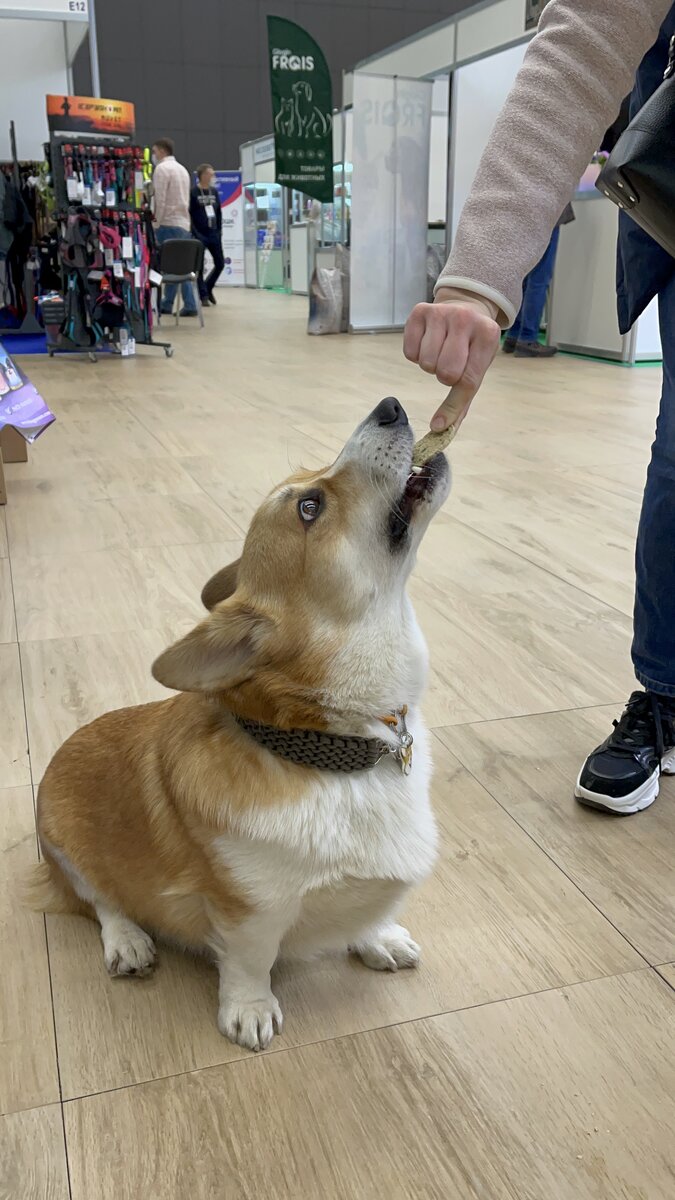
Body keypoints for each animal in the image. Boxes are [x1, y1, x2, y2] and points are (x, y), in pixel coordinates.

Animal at [30, 396, 446, 1051]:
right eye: (309, 507)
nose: (390, 406)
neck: (331, 749)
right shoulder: (249, 909)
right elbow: (250, 960)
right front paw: (249, 1009)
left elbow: (370, 909)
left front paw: (377, 937)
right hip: (64, 846)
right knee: (100, 900)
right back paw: (128, 942)